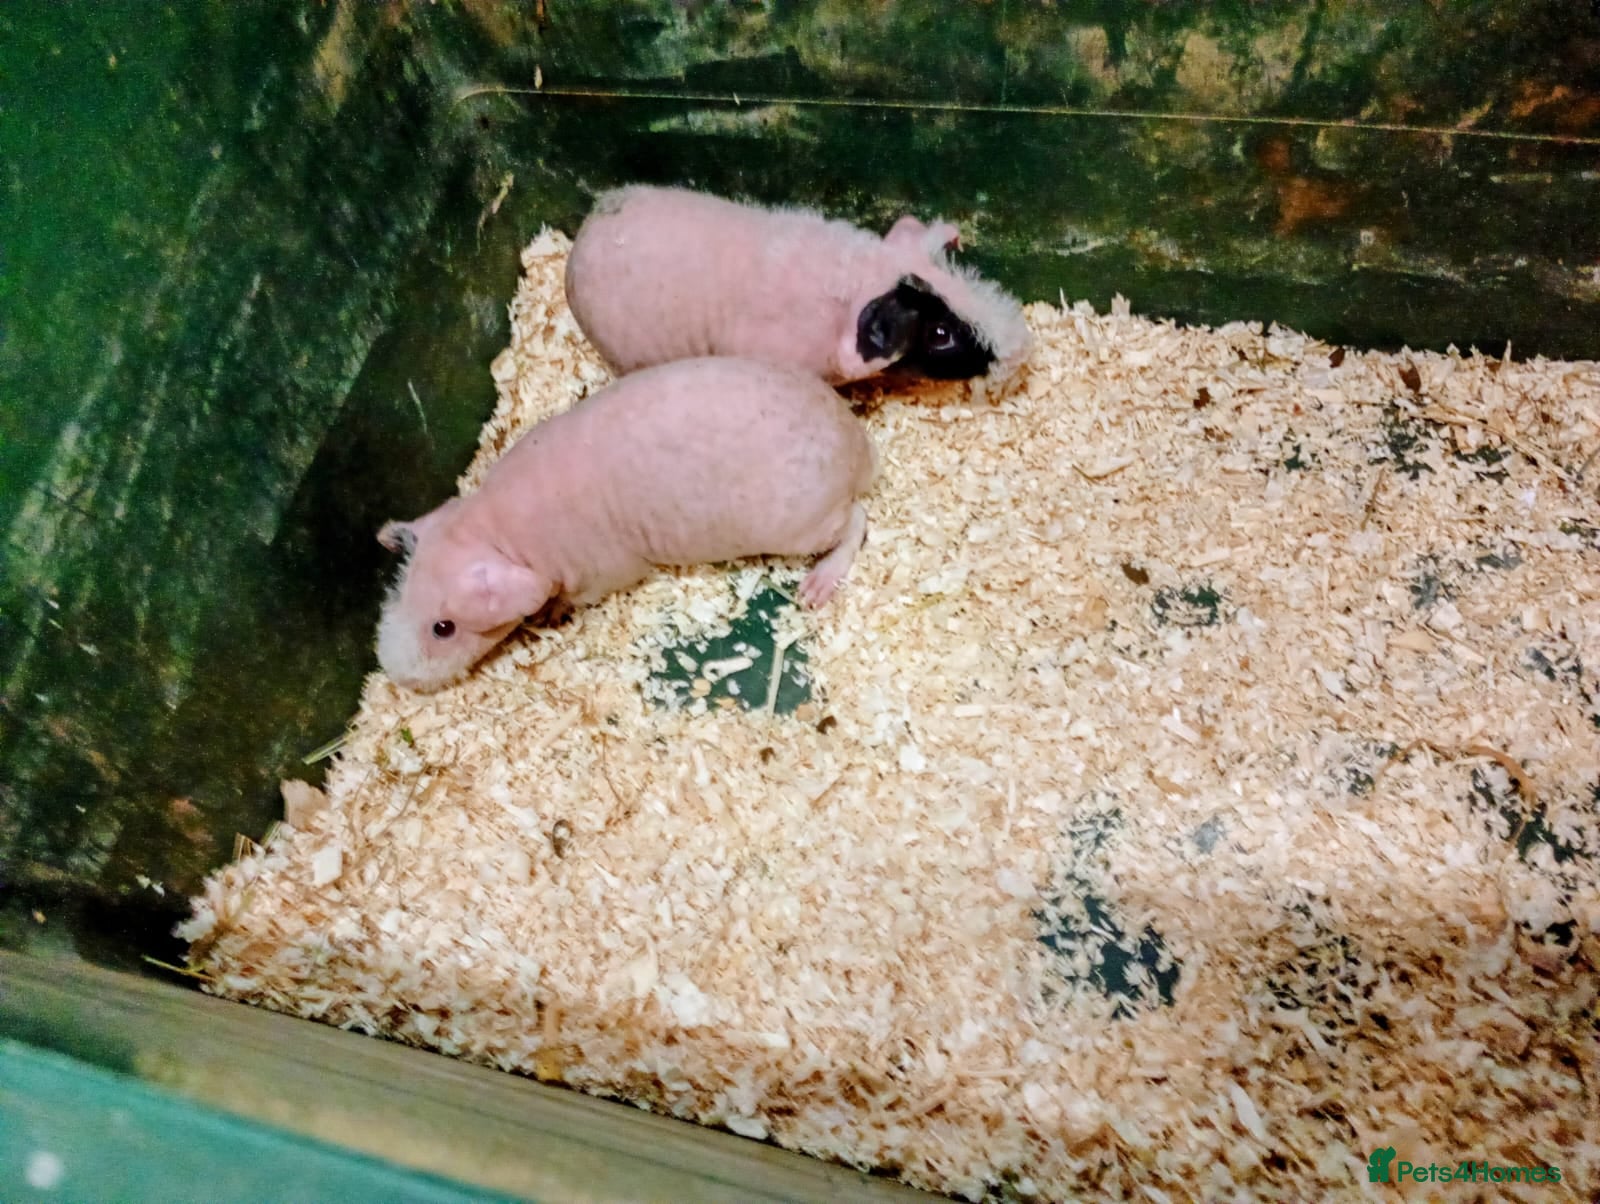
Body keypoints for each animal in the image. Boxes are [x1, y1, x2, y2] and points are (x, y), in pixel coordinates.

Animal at [375, 356, 877, 692]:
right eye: (399, 592)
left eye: (444, 628)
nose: (396, 673)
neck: (499, 532)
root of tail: (859, 446)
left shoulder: (602, 572)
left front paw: (553, 613)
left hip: (805, 527)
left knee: (857, 520)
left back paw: (815, 587)